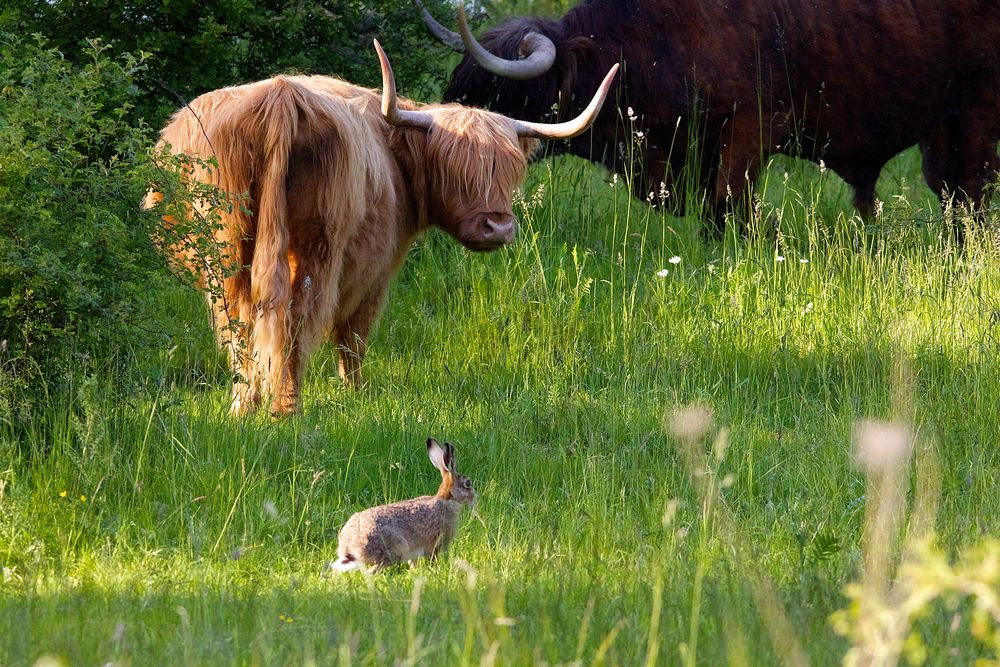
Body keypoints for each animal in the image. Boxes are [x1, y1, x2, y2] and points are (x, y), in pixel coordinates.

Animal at [422, 0, 1000, 230]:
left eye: (498, 93)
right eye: (457, 87)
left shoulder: (748, 128)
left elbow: (727, 209)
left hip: (975, 112)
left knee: (971, 195)